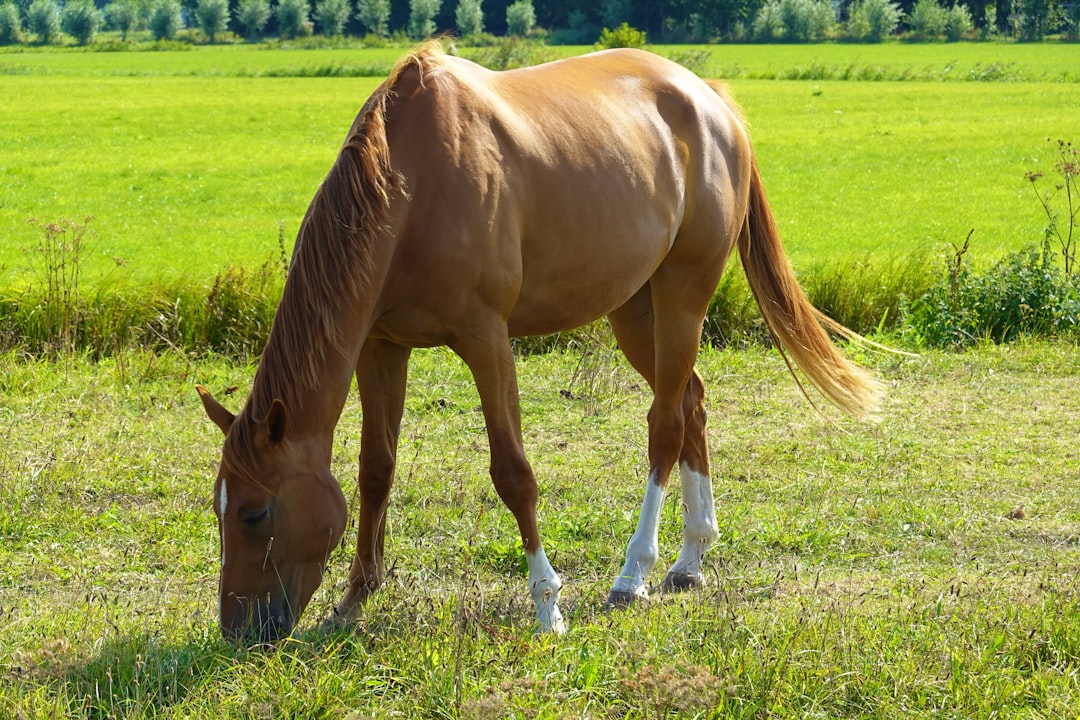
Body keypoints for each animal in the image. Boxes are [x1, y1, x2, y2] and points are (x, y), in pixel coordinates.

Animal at [197, 42, 883, 642]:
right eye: (219, 508)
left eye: (256, 512)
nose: (239, 631)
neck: (410, 185)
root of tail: (711, 102)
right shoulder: (381, 346)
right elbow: (375, 471)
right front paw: (353, 601)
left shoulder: (486, 340)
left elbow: (513, 474)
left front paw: (547, 605)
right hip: (635, 308)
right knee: (691, 401)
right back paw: (690, 561)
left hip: (683, 293)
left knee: (664, 423)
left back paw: (633, 574)